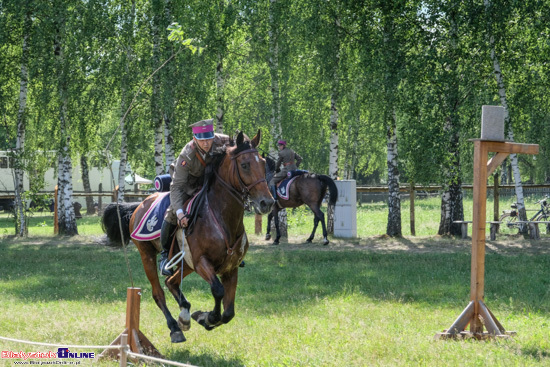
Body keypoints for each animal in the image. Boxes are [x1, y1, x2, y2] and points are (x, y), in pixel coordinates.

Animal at [102, 131, 274, 344]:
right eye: (245, 165)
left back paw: (184, 314)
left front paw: (203, 317)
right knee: (158, 292)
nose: (267, 202)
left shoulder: (230, 268)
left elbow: (228, 312)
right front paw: (208, 317)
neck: (221, 217)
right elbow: (218, 291)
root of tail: (139, 205)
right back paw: (175, 327)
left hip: (186, 263)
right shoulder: (201, 262)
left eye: (264, 163)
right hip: (148, 255)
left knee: (171, 282)